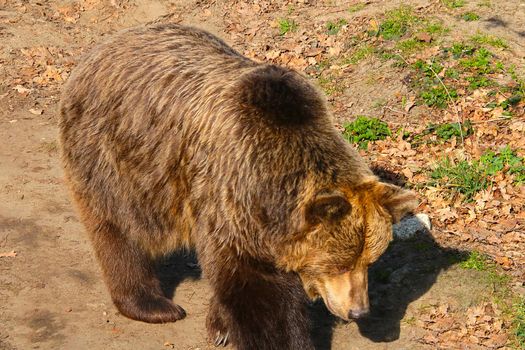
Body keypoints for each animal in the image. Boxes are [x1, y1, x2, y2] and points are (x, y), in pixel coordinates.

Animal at [58, 24, 418, 350]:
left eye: (370, 260)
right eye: (339, 263)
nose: (358, 311)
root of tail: (105, 45)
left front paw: (221, 327)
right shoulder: (230, 195)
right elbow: (259, 292)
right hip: (116, 156)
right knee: (119, 227)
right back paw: (152, 304)